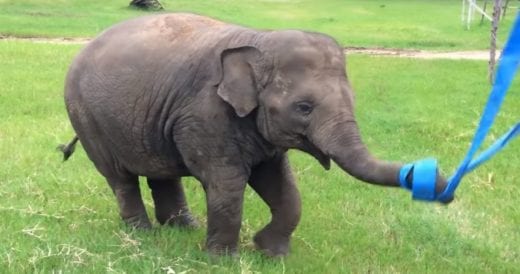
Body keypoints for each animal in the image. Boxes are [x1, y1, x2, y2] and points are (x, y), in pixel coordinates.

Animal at [61, 12, 448, 256]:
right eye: (304, 107)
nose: (439, 180)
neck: (259, 37)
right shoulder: (206, 114)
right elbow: (228, 184)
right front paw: (221, 260)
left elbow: (281, 184)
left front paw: (270, 253)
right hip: (85, 115)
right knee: (120, 177)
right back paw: (142, 234)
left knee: (162, 172)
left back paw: (184, 228)